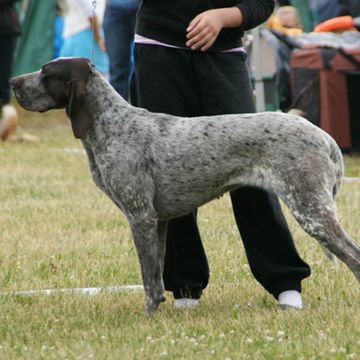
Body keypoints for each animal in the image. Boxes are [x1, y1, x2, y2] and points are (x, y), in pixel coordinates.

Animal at [9, 57, 358, 314]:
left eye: (46, 72)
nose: (13, 82)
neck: (112, 124)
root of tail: (324, 136)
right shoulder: (158, 220)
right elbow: (157, 273)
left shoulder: (140, 217)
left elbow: (148, 277)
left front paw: (148, 317)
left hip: (311, 210)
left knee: (353, 255)